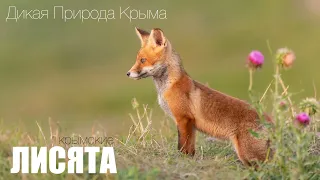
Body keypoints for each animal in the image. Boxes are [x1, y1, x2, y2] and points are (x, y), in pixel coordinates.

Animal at [126, 27, 272, 165]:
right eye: (138, 59)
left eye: (143, 60)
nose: (127, 73)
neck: (168, 86)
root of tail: (265, 117)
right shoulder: (191, 124)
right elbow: (190, 149)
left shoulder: (184, 119)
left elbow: (182, 146)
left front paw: (181, 160)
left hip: (248, 154)